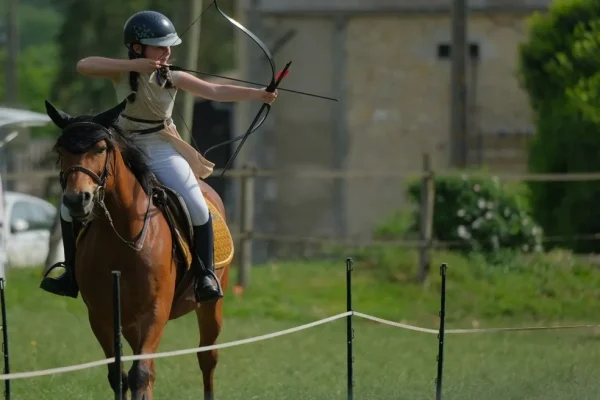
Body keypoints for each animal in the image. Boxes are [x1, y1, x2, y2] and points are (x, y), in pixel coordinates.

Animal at [44, 98, 232, 398]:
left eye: (100, 148)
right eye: (60, 150)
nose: (76, 200)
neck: (122, 236)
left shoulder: (154, 312)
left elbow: (139, 373)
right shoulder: (101, 315)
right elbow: (119, 376)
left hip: (210, 307)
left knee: (207, 358)